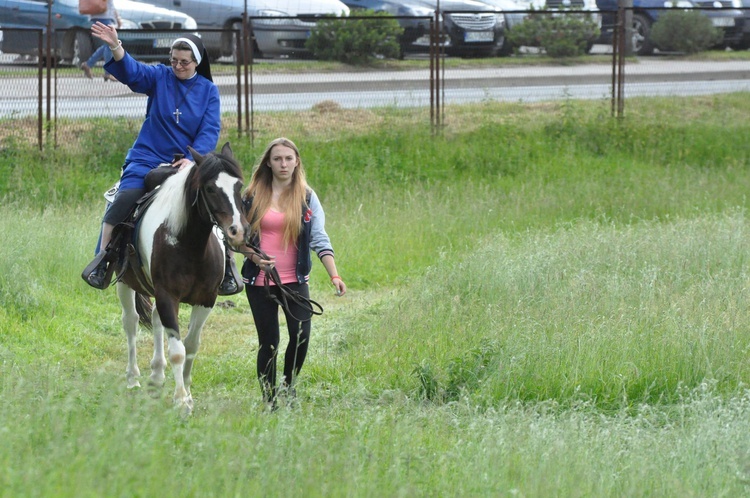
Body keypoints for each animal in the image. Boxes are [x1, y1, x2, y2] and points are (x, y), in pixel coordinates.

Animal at [114, 141, 248, 412]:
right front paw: (181, 400)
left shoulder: (206, 300)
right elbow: (177, 350)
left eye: (239, 186)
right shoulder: (168, 296)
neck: (189, 244)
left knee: (155, 320)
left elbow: (191, 345)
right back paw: (133, 379)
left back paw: (156, 376)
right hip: (125, 283)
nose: (237, 232)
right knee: (131, 322)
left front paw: (187, 389)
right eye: (210, 188)